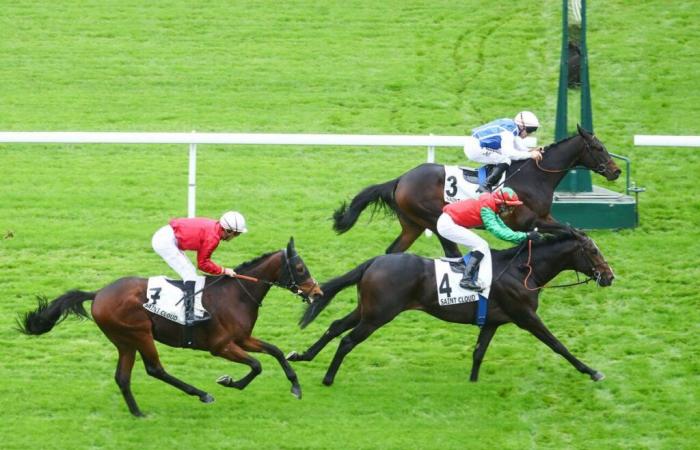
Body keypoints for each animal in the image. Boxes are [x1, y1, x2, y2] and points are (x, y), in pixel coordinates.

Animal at [17, 237, 322, 416]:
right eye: (301, 268)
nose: (317, 292)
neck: (236, 293)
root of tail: (99, 293)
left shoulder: (243, 338)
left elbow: (275, 351)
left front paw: (295, 386)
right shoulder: (221, 346)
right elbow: (256, 366)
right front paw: (229, 381)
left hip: (125, 341)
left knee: (123, 377)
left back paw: (138, 413)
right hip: (139, 333)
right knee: (155, 369)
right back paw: (201, 394)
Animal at [288, 230, 616, 384]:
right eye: (593, 251)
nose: (610, 276)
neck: (522, 270)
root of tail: (375, 261)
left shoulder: (493, 321)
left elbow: (479, 352)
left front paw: (472, 382)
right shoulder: (526, 316)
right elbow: (558, 345)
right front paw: (592, 371)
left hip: (367, 309)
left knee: (335, 327)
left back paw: (302, 355)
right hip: (379, 315)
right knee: (347, 340)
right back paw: (328, 378)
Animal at [334, 124, 624, 256]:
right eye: (597, 147)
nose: (616, 171)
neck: (536, 177)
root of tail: (400, 180)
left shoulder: (544, 218)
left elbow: (572, 229)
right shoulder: (529, 220)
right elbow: (569, 230)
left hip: (412, 225)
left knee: (393, 251)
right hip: (433, 219)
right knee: (451, 252)